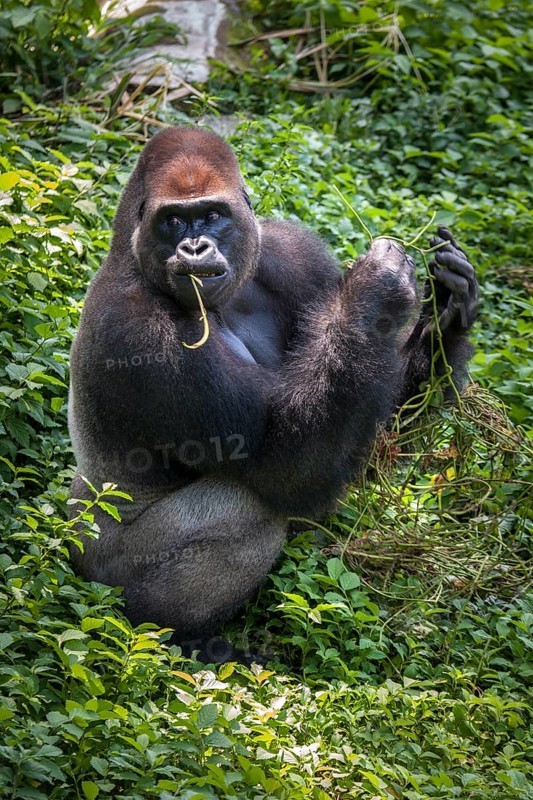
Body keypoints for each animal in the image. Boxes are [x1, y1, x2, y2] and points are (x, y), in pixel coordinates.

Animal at [68, 126, 478, 661]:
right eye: (172, 221)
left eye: (212, 216)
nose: (194, 248)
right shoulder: (135, 333)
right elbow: (286, 465)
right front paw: (379, 288)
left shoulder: (293, 252)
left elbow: (365, 435)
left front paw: (447, 315)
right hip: (100, 570)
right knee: (245, 509)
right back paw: (171, 633)